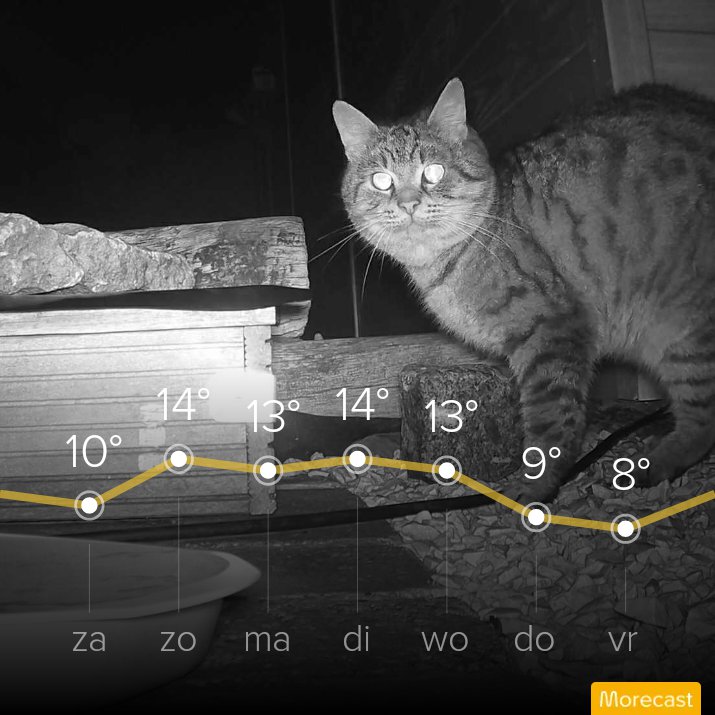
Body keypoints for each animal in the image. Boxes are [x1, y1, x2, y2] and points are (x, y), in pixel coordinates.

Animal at [333, 78, 715, 503]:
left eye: (433, 171)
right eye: (381, 180)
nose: (409, 203)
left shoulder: (551, 333)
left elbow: (551, 425)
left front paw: (533, 487)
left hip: (686, 332)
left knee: (702, 421)